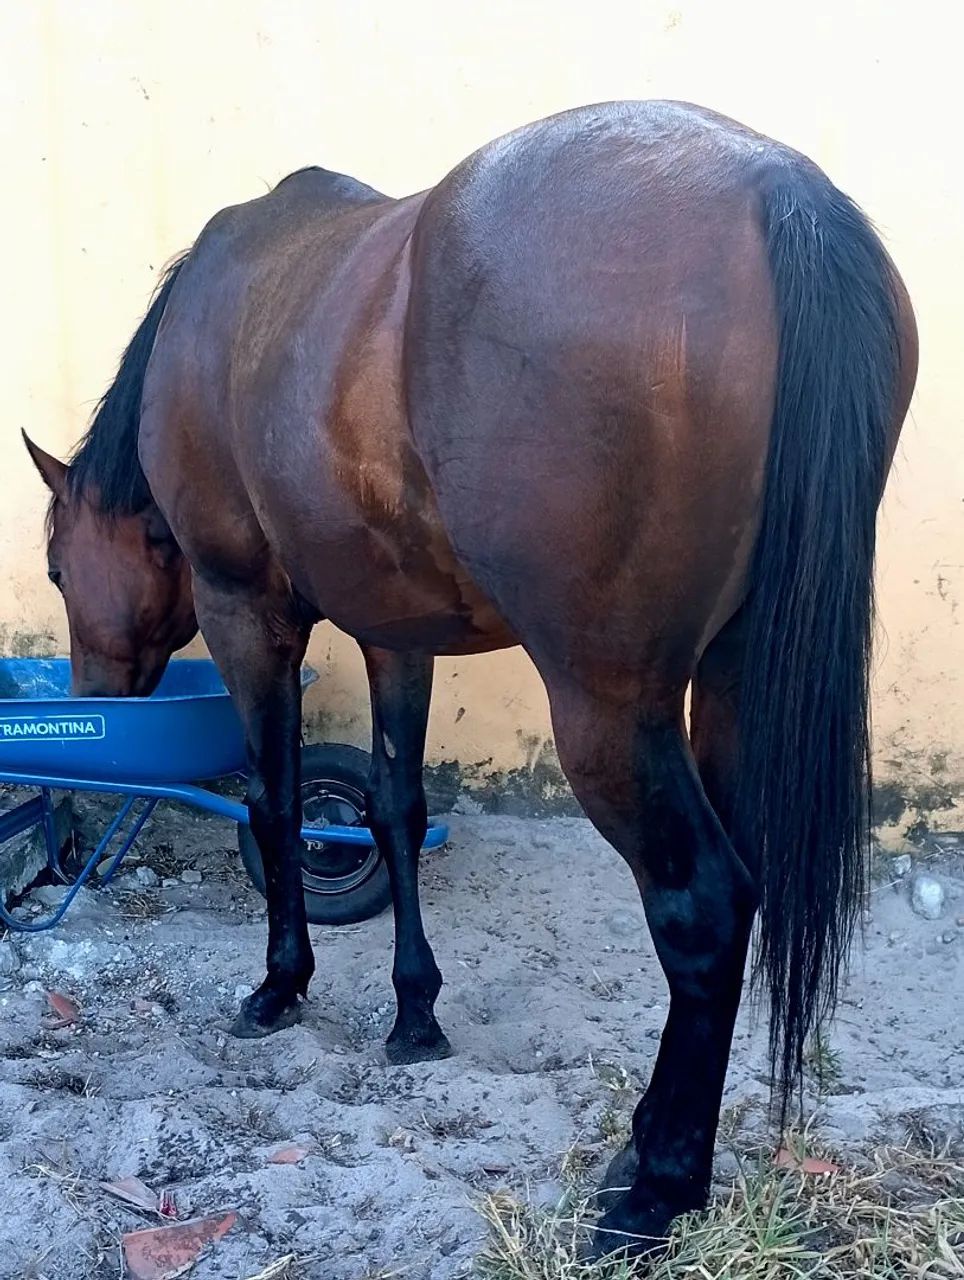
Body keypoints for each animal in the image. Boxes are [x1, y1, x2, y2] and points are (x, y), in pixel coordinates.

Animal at [23, 100, 917, 1257]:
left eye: (55, 566)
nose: (90, 694)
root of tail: (776, 190)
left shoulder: (243, 611)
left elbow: (274, 799)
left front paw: (281, 982)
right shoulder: (394, 631)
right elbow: (396, 808)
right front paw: (415, 1011)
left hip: (609, 707)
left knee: (706, 905)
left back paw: (657, 1188)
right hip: (730, 682)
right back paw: (652, 1148)